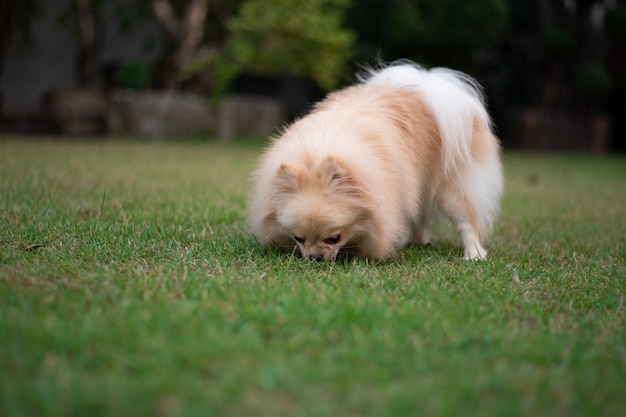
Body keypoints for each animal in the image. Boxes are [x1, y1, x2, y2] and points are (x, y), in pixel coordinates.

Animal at [247, 61, 502, 260]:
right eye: (298, 238)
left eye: (334, 238)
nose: (315, 257)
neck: (319, 151)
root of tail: (424, 84)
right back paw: (416, 242)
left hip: (451, 187)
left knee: (466, 220)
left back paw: (474, 254)